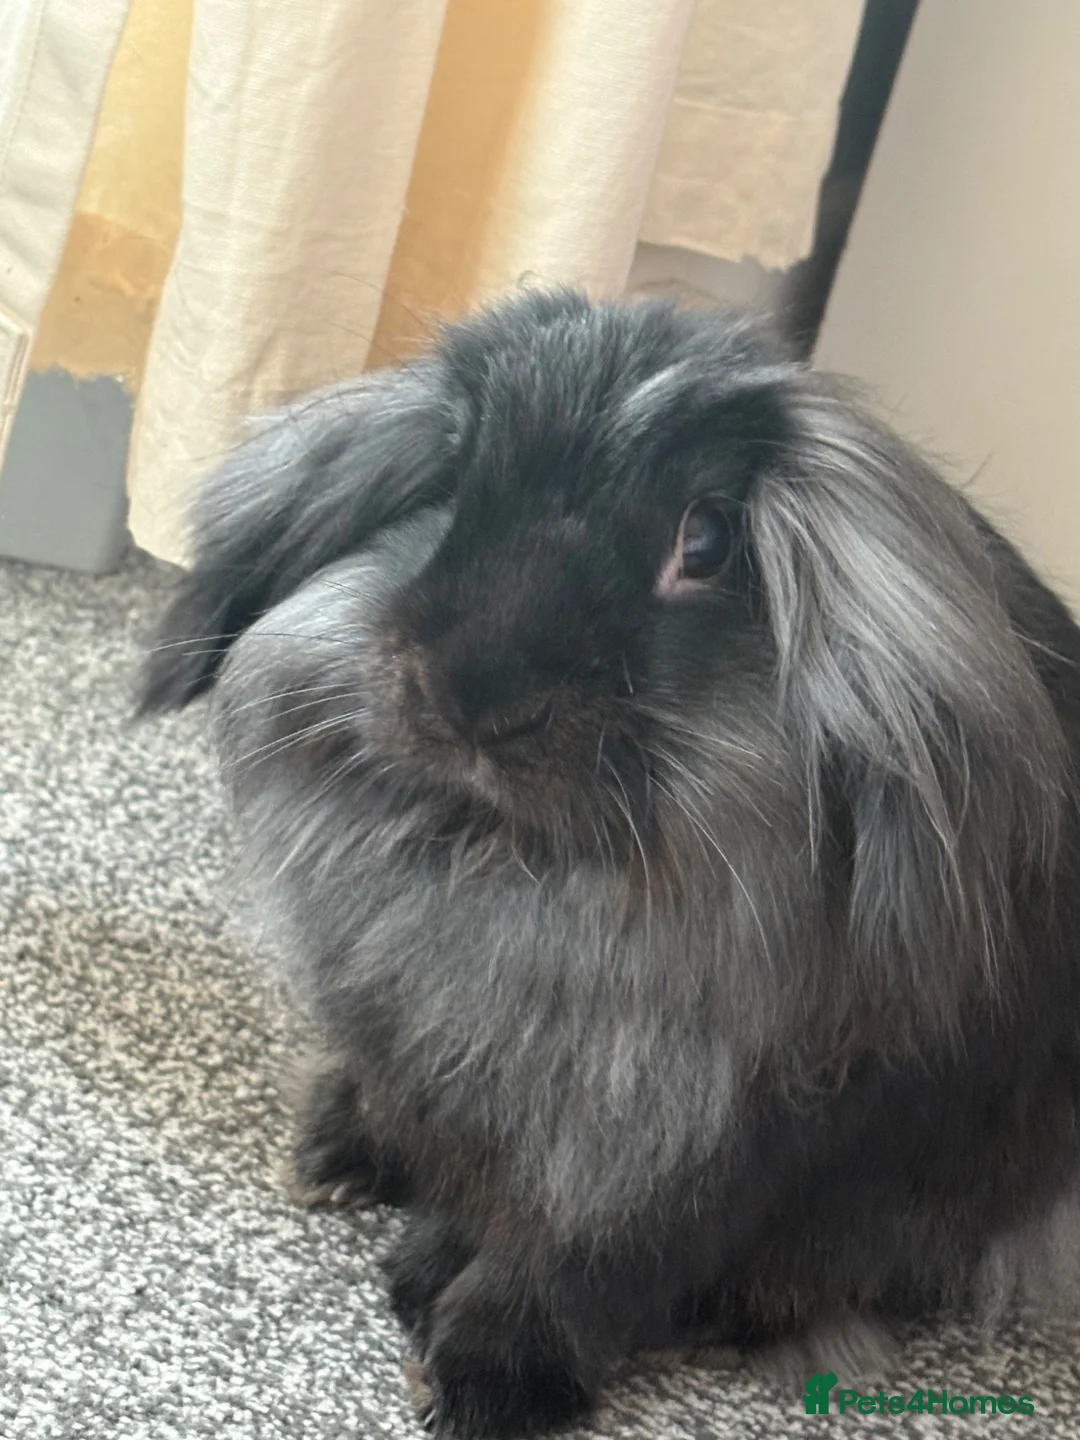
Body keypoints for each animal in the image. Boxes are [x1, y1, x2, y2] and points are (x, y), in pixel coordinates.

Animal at [142, 289, 1080, 1438]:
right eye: (455, 479)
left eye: (706, 540)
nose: (471, 697)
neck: (504, 866)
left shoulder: (684, 1157)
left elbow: (570, 1269)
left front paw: (482, 1385)